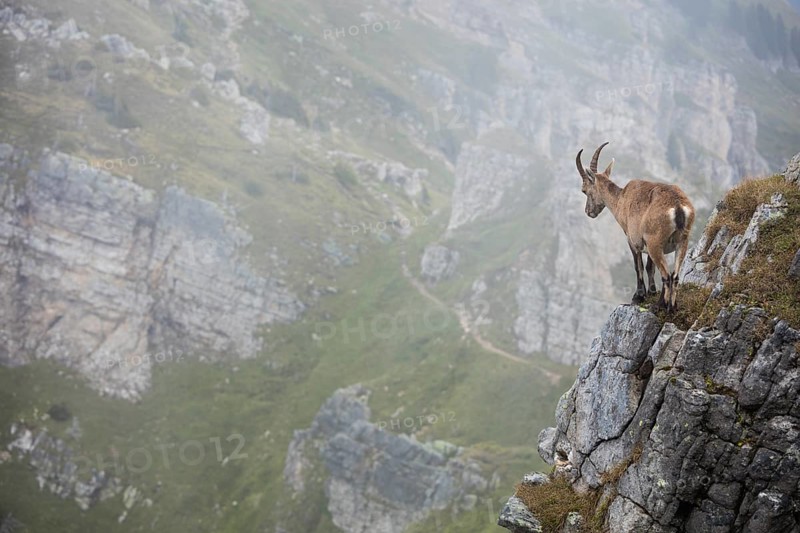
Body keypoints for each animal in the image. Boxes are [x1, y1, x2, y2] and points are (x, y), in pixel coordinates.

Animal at [576, 142, 695, 312]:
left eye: (584, 190)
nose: (588, 212)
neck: (621, 199)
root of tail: (678, 207)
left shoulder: (632, 240)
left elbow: (638, 266)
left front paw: (638, 296)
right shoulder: (646, 243)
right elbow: (650, 267)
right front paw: (651, 292)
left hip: (655, 243)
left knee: (667, 276)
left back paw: (660, 306)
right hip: (681, 242)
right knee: (674, 275)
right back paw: (672, 307)